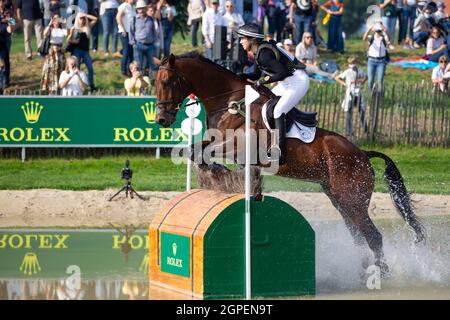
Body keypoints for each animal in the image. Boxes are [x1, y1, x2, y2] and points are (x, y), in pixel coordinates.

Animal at [155, 52, 426, 276]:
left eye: (167, 82)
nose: (161, 120)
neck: (229, 102)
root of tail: (362, 154)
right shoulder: (217, 139)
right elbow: (194, 150)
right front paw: (216, 170)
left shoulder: (236, 146)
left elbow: (202, 152)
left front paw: (218, 170)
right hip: (340, 200)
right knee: (359, 237)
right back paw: (363, 271)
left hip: (353, 200)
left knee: (374, 237)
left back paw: (381, 273)